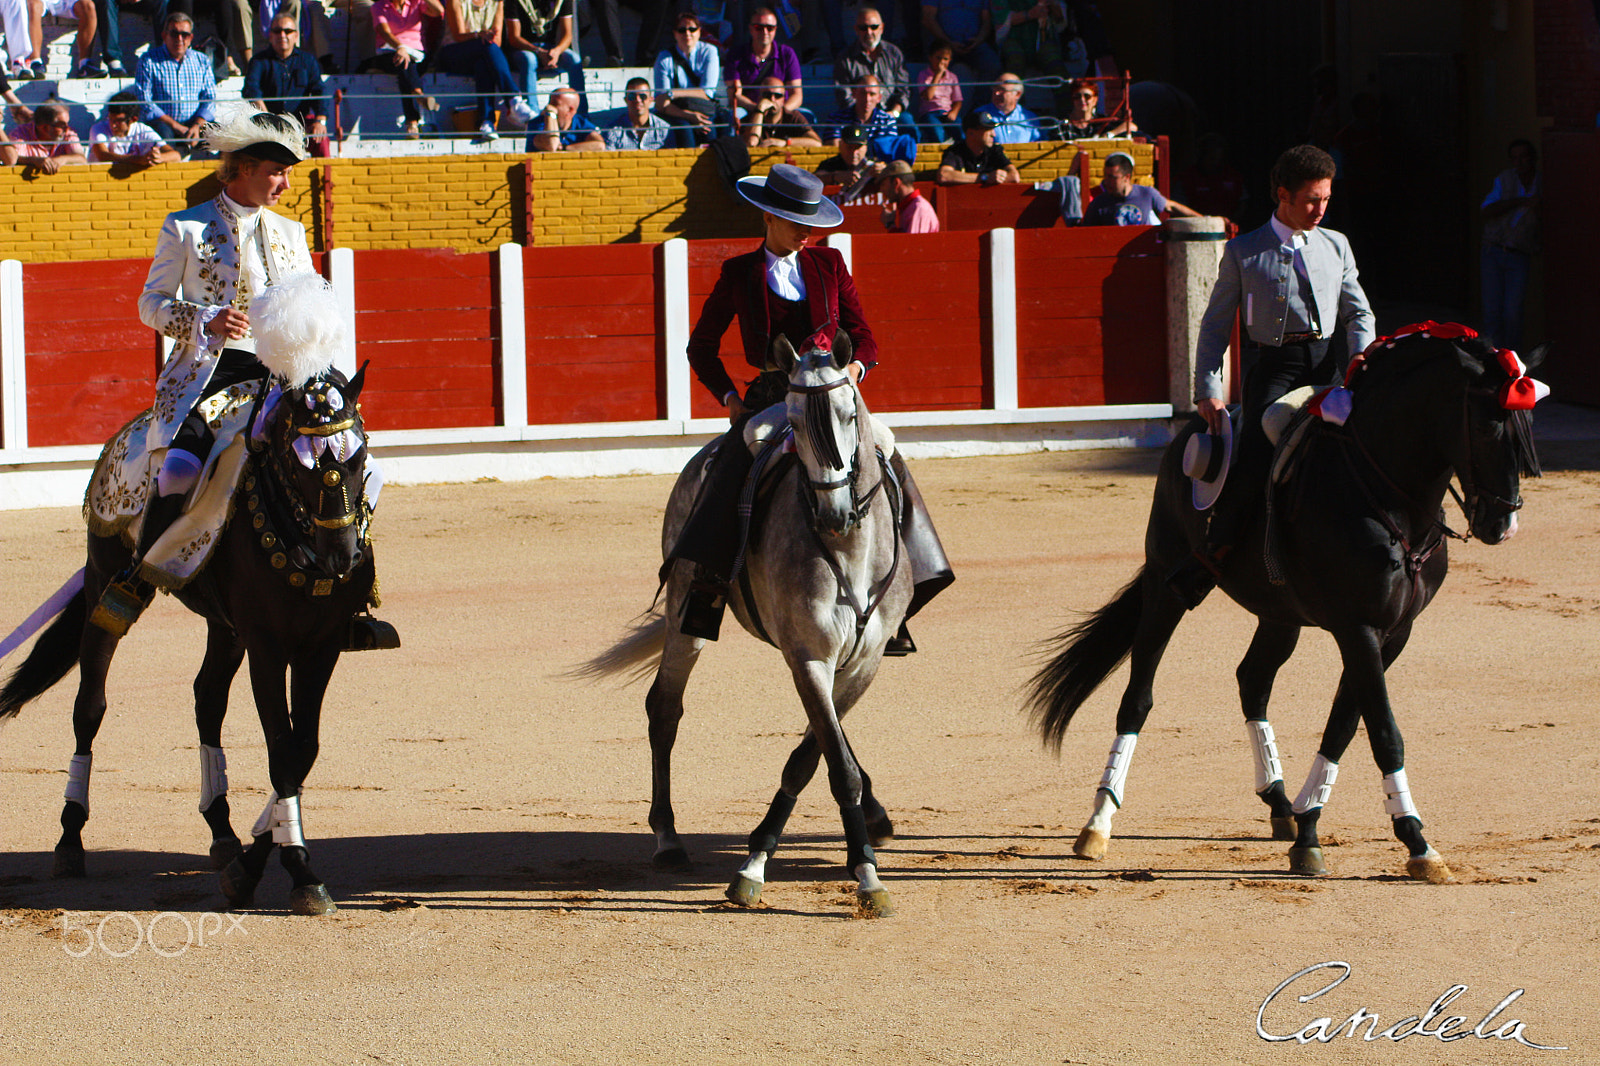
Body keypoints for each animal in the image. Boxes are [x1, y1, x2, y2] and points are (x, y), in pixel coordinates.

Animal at [0, 361, 384, 909]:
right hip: (103, 580)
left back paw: (222, 830)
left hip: (224, 627)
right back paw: (70, 839)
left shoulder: (321, 647)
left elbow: (301, 747)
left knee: (207, 699)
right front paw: (295, 870)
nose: (343, 556)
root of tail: (128, 431)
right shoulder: (267, 648)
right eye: (301, 466)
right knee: (89, 705)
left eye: (360, 455)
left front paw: (260, 859)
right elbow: (281, 749)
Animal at [585, 332, 915, 915]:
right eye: (793, 422)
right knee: (664, 708)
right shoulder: (809, 655)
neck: (848, 549)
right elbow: (830, 765)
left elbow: (816, 754)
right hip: (685, 615)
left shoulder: (862, 663)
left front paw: (859, 866)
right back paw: (667, 838)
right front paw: (765, 865)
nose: (833, 513)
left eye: (849, 412)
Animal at [1030, 326, 1542, 877]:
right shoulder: (1358, 628)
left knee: (1252, 681)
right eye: (1488, 427)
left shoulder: (1391, 633)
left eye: (1528, 426)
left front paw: (1311, 828)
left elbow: (1344, 726)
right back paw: (1098, 821)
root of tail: (1197, 428)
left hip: (1279, 613)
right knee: (1138, 697)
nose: (1503, 524)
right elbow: (1383, 730)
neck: (1387, 497)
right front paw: (1418, 842)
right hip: (1167, 586)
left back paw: (1279, 803)